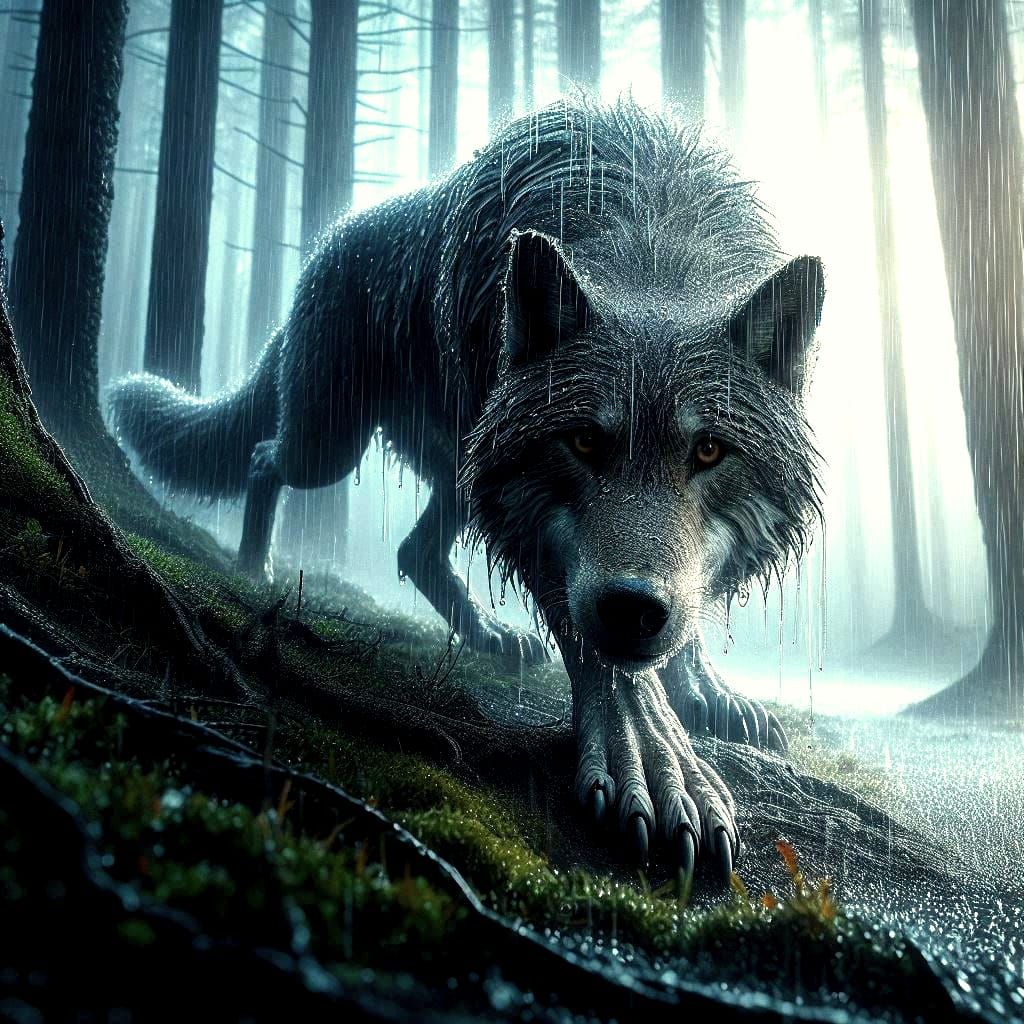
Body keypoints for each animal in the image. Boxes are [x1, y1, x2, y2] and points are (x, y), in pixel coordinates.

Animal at [111, 100, 825, 878]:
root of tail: (331, 241)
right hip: (331, 446)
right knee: (266, 460)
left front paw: (706, 692)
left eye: (708, 451)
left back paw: (489, 634)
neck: (655, 247)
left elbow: (683, 613)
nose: (633, 609)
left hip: (455, 467)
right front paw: (652, 758)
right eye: (583, 443)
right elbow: (607, 660)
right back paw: (253, 565)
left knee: (412, 550)